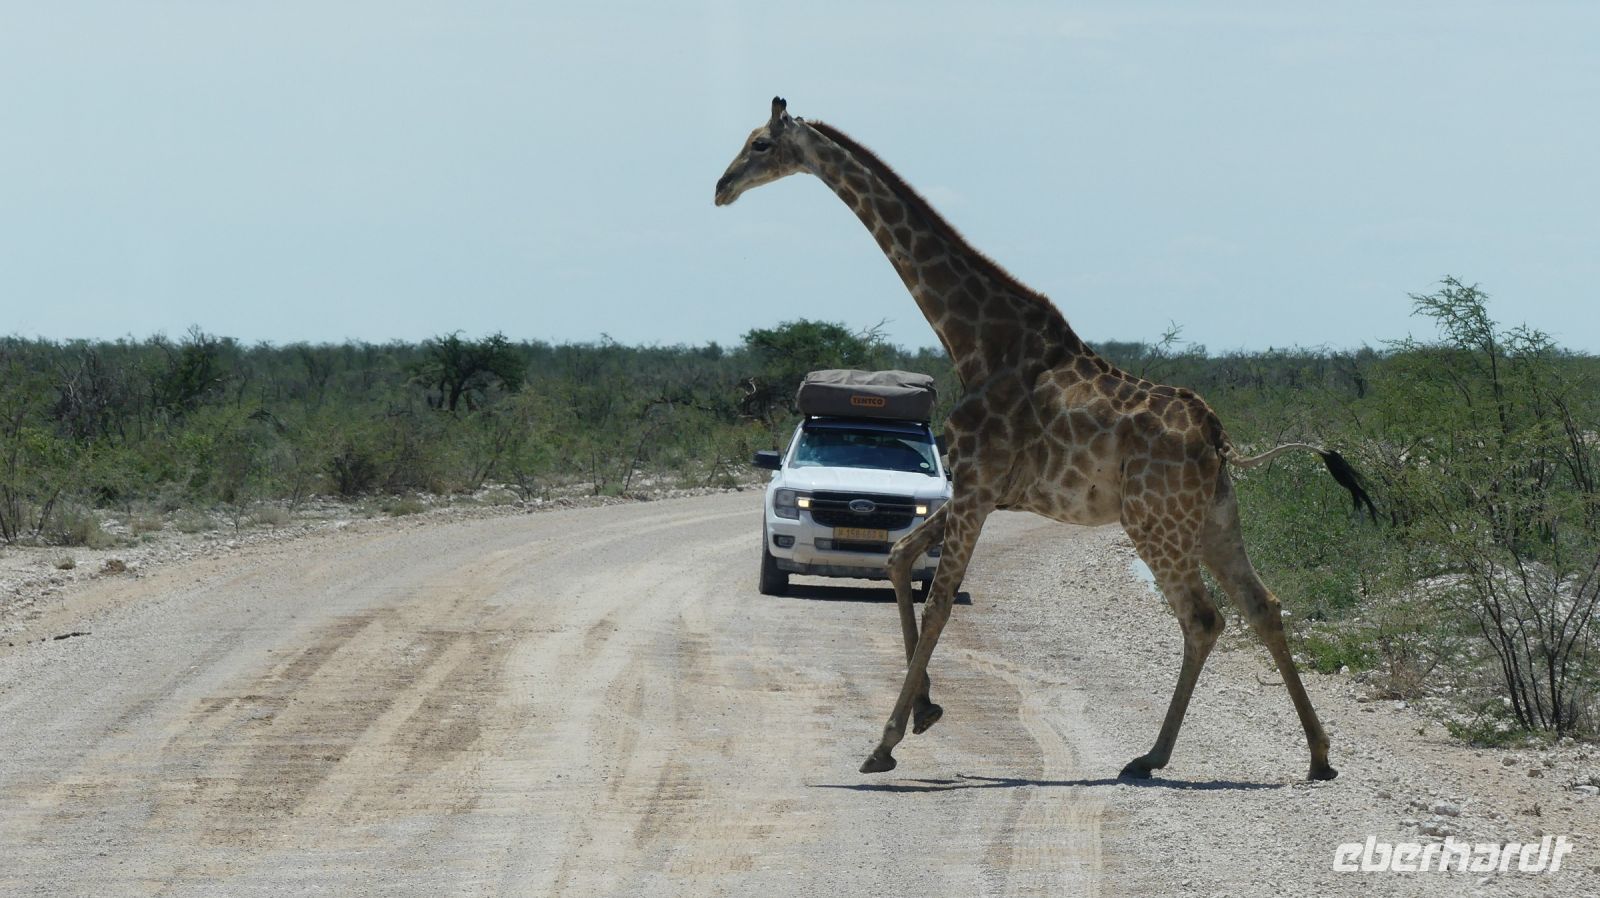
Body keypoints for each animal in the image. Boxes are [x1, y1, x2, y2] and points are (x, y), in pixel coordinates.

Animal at [715, 98, 1374, 781]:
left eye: (760, 144)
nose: (721, 187)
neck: (976, 340)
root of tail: (1218, 436)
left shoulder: (977, 486)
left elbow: (940, 599)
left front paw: (884, 742)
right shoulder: (978, 489)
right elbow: (899, 559)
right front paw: (926, 711)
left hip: (1155, 521)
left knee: (1203, 616)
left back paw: (1152, 755)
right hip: (1215, 519)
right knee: (1261, 604)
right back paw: (1316, 755)